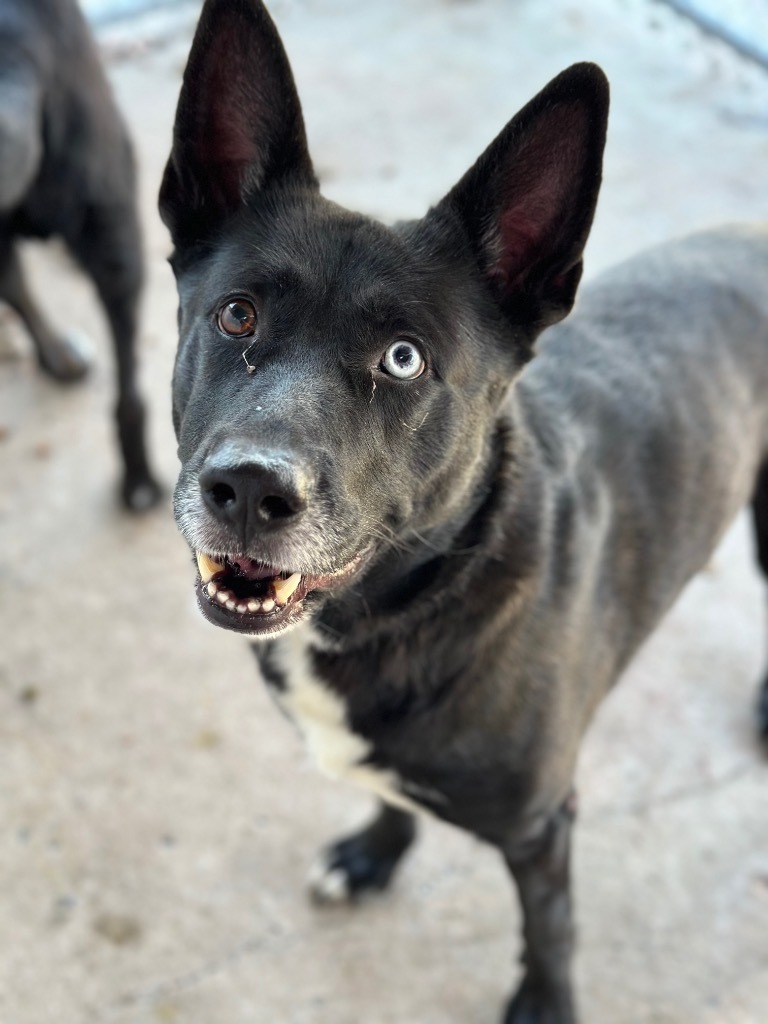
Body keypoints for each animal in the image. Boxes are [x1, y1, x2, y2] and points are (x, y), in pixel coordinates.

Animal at [159, 4, 768, 1019]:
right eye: (237, 316)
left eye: (404, 359)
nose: (247, 490)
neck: (408, 605)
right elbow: (391, 797)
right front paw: (376, 853)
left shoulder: (543, 826)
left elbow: (552, 930)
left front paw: (546, 1004)